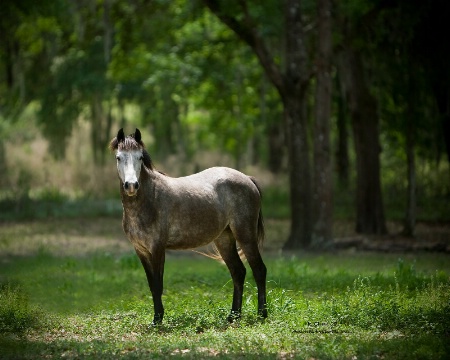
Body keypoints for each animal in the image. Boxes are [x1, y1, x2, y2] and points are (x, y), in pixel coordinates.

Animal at [109, 128, 268, 324]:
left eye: (139, 157)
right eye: (118, 157)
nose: (131, 185)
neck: (149, 200)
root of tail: (248, 178)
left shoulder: (157, 248)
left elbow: (158, 285)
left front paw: (158, 320)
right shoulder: (141, 250)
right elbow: (152, 285)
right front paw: (156, 319)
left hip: (245, 235)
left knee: (259, 270)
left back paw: (262, 314)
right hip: (224, 239)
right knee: (238, 272)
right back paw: (233, 315)